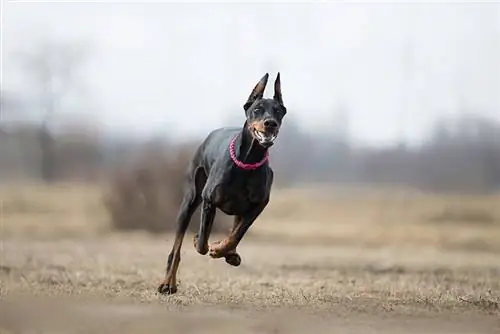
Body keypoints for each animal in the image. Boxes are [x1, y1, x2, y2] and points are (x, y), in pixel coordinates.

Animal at [158, 72, 288, 294]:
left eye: (278, 111)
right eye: (257, 109)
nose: (270, 123)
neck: (248, 160)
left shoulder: (258, 205)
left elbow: (237, 234)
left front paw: (222, 250)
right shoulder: (209, 200)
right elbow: (202, 243)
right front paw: (203, 242)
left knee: (234, 228)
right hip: (190, 200)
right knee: (176, 248)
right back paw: (168, 283)